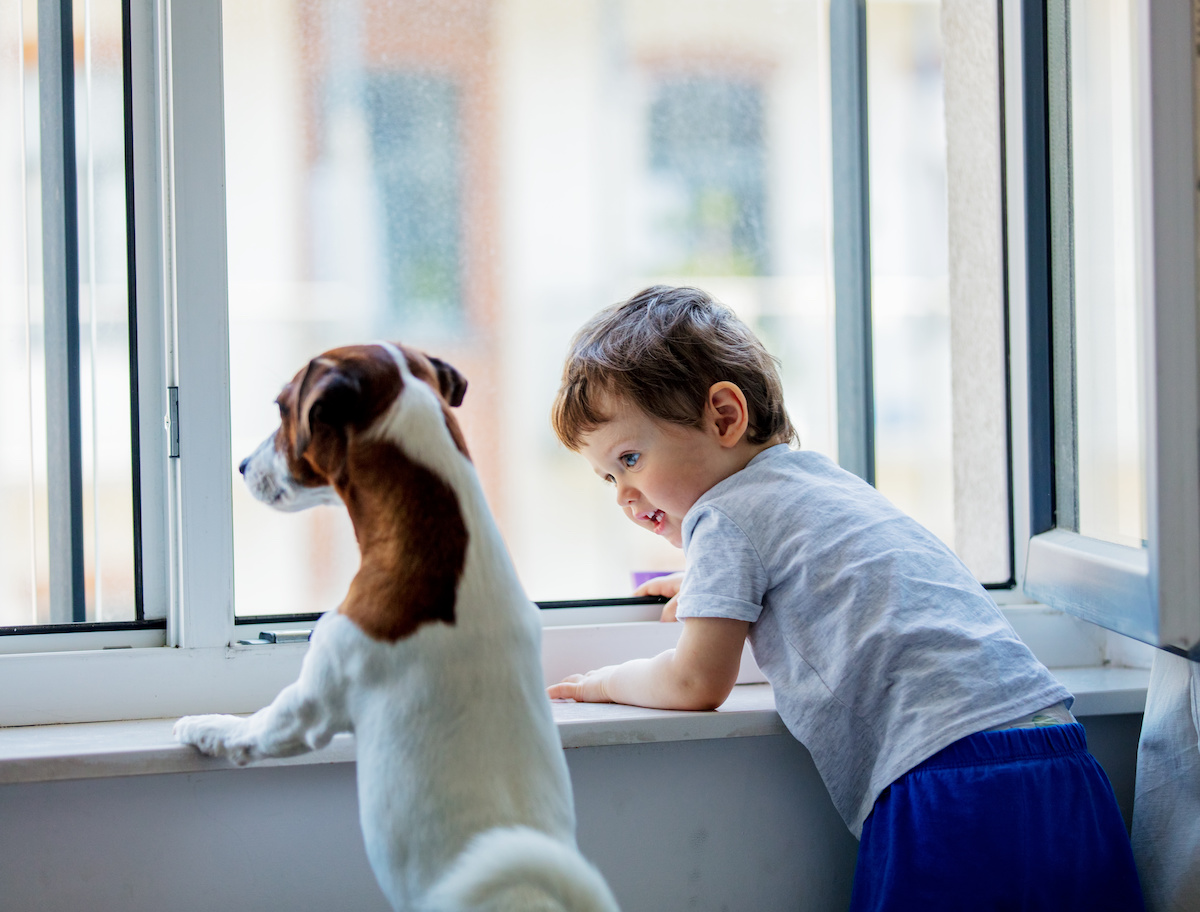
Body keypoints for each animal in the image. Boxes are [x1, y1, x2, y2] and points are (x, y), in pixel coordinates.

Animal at [175, 343, 619, 912]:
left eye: (279, 407)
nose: (243, 464)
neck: (442, 544)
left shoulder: (307, 708)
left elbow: (246, 728)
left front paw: (201, 725)